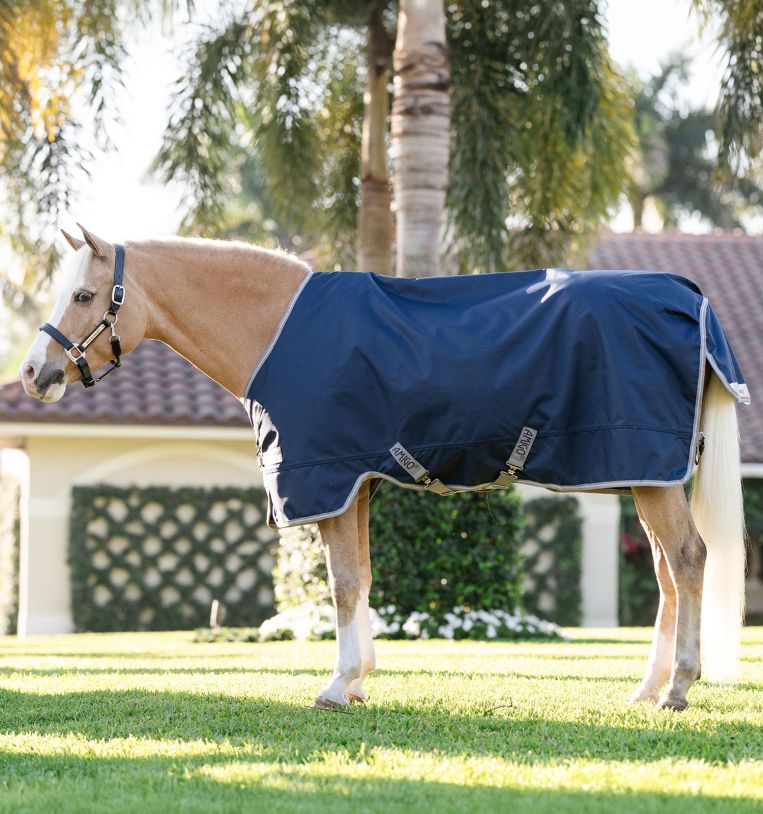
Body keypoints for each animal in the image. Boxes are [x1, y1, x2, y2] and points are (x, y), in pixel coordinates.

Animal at [19, 224, 747, 712]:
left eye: (83, 295)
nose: (31, 373)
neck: (278, 329)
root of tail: (688, 298)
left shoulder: (328, 481)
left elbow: (341, 584)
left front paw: (337, 684)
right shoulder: (357, 486)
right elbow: (362, 577)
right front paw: (361, 679)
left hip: (648, 475)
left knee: (687, 559)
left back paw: (678, 688)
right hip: (643, 475)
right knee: (665, 572)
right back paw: (647, 687)